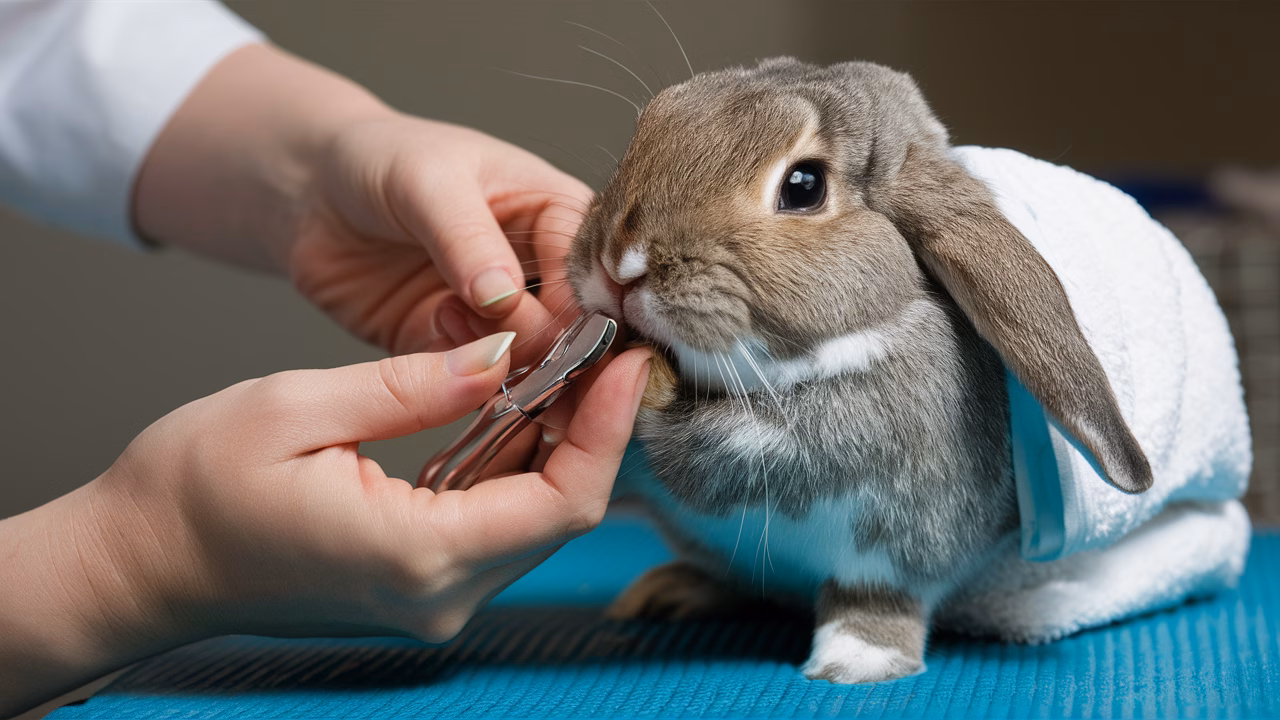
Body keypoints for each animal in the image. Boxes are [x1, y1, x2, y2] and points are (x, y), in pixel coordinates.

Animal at [564, 57, 1152, 684]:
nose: (619, 264)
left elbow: (875, 592)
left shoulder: (890, 517)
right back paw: (665, 592)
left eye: (804, 186)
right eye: (652, 123)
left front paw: (855, 662)